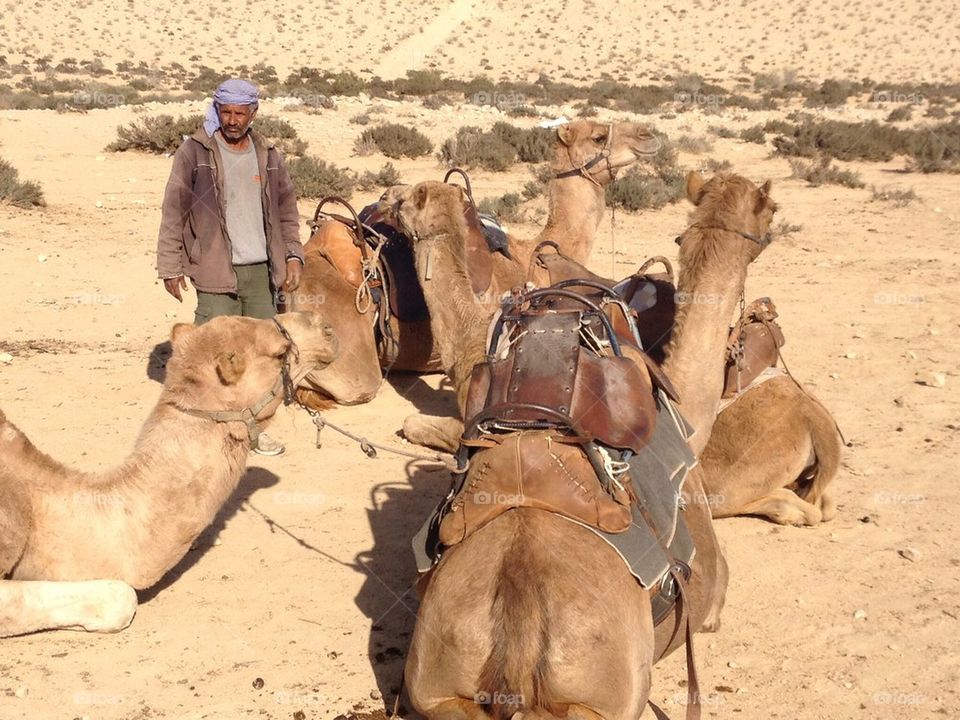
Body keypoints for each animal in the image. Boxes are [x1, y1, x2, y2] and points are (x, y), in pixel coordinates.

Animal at [391, 174, 778, 719]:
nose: (389, 201)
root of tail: (518, 625)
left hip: (439, 686)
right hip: (602, 699)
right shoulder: (715, 590)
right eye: (770, 210)